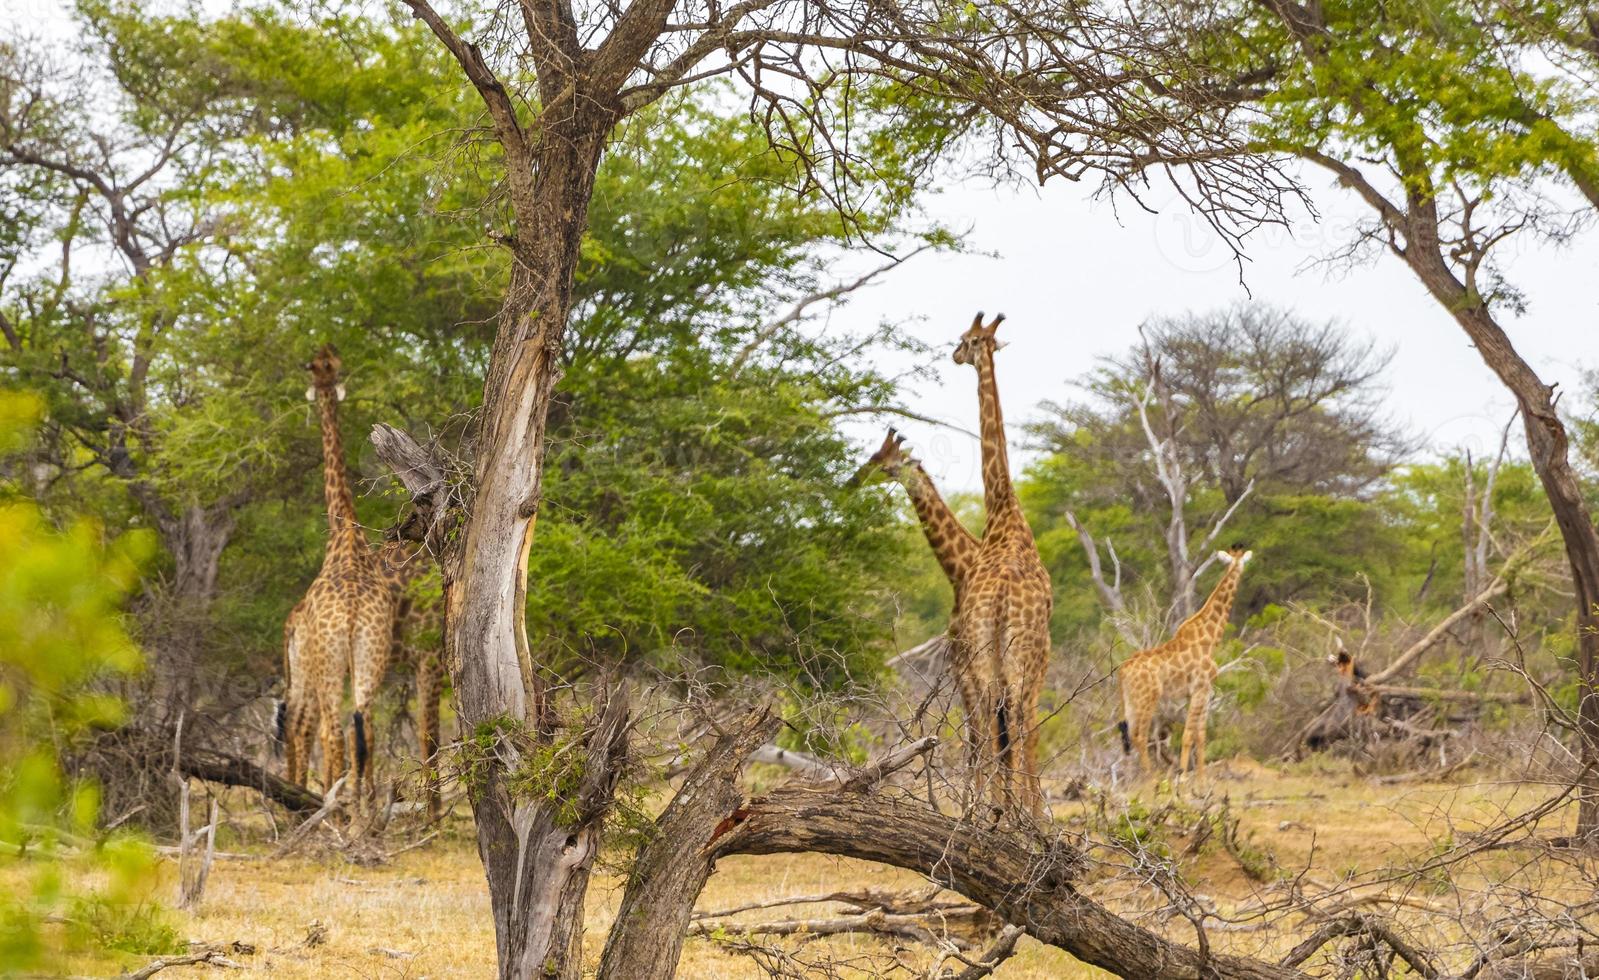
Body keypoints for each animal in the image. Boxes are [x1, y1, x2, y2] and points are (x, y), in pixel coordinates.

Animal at [1119, 546, 1253, 776]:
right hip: (1147, 699)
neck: (1210, 638)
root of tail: (1123, 671)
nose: (1241, 572)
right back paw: (1150, 777)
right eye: (1240, 561)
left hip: (1131, 700)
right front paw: (1183, 774)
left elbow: (1201, 735)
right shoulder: (1200, 688)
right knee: (1140, 737)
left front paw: (1201, 779)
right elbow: (1189, 735)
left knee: (1127, 737)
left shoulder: (1203, 691)